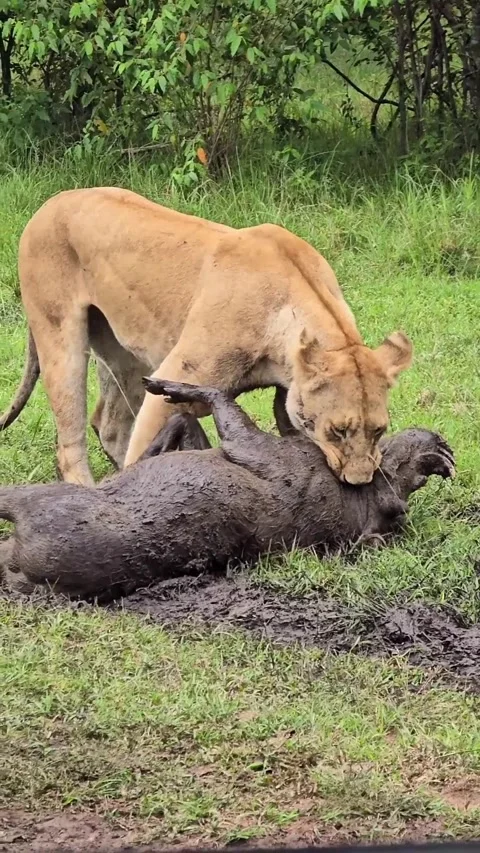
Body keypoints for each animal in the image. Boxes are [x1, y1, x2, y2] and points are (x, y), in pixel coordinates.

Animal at [0, 187, 412, 487]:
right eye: (338, 430)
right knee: (70, 441)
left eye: (379, 430)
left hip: (124, 353)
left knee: (111, 425)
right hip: (60, 337)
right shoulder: (169, 382)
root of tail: (52, 201)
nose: (359, 481)